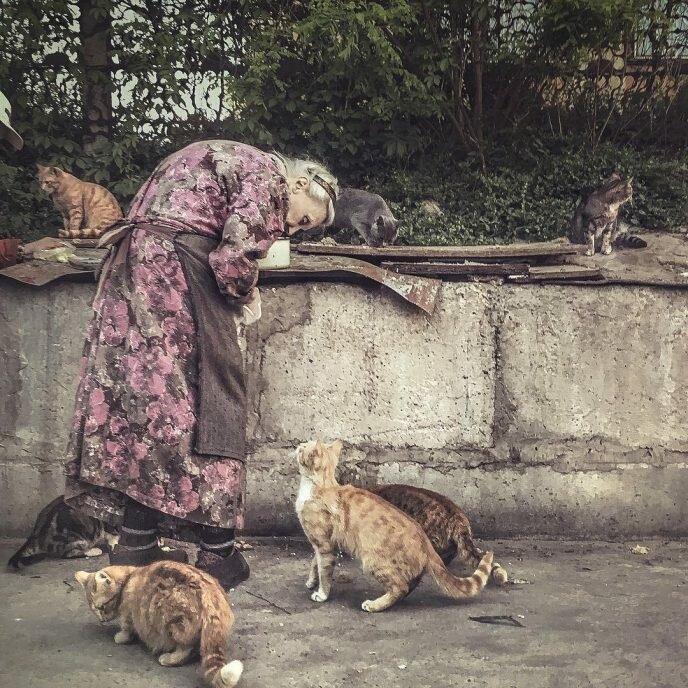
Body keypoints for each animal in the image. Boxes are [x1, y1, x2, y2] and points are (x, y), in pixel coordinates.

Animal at [74, 560, 242, 684]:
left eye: (101, 607)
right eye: (94, 610)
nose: (101, 620)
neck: (129, 577)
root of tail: (210, 596)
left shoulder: (129, 615)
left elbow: (127, 628)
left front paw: (121, 636)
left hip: (173, 622)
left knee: (186, 648)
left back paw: (169, 658)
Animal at [292, 438, 492, 612]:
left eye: (303, 448)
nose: (298, 445)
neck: (320, 486)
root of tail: (426, 544)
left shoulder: (324, 545)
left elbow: (324, 571)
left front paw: (321, 594)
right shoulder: (323, 544)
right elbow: (315, 563)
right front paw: (312, 581)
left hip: (373, 561)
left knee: (400, 587)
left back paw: (374, 605)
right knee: (409, 584)